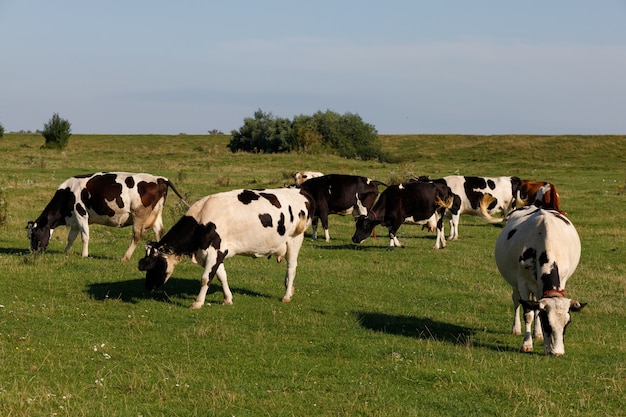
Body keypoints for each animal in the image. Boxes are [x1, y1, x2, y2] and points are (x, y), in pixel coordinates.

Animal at [26, 171, 186, 260]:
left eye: (33, 235)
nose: (32, 252)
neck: (68, 194)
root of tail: (160, 178)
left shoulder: (81, 215)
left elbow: (85, 236)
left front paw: (84, 255)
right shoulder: (75, 220)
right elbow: (71, 237)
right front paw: (66, 252)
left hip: (139, 215)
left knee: (137, 236)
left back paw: (125, 257)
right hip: (156, 214)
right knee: (160, 232)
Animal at [137, 187, 312, 308]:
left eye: (152, 265)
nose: (147, 287)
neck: (201, 221)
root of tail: (299, 191)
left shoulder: (213, 252)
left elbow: (205, 278)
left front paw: (197, 303)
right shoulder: (216, 253)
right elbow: (222, 276)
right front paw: (228, 299)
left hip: (295, 240)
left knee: (291, 269)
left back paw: (286, 296)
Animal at [492, 205, 584, 354]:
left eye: (567, 323)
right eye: (547, 322)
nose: (557, 353)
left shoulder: (562, 280)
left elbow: (536, 310)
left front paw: (539, 336)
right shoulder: (523, 283)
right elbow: (528, 313)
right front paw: (527, 344)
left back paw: (538, 333)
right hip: (515, 283)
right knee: (516, 300)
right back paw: (516, 328)